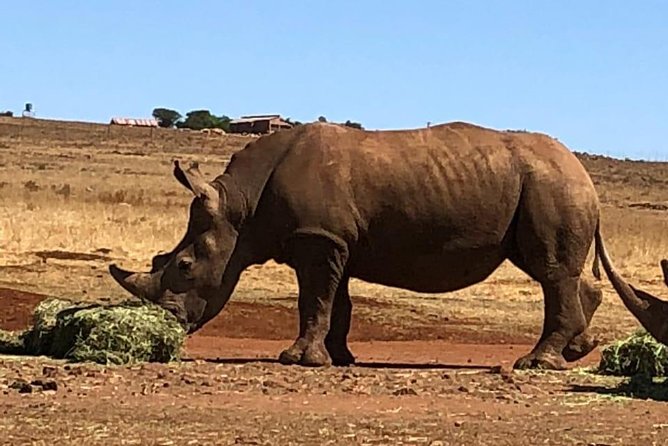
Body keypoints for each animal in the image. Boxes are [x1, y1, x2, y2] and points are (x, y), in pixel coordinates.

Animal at [109, 121, 655, 370]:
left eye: (183, 265)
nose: (171, 323)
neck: (240, 205)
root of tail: (584, 171)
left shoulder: (318, 240)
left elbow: (314, 299)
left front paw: (297, 360)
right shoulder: (335, 243)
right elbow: (337, 302)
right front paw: (339, 358)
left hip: (551, 184)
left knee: (550, 272)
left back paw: (535, 363)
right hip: (547, 183)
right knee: (554, 270)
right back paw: (575, 351)